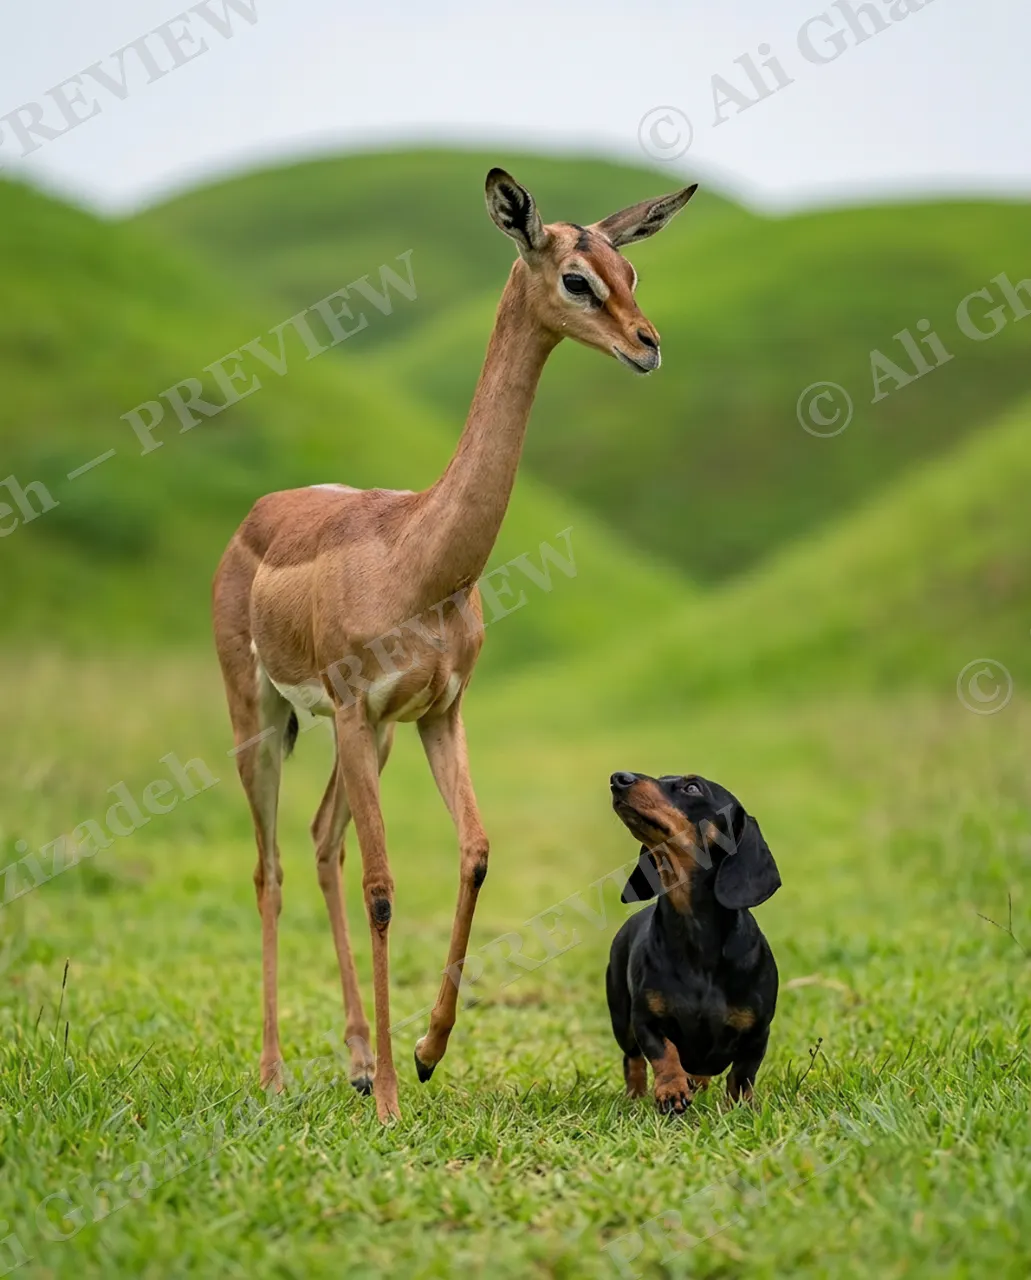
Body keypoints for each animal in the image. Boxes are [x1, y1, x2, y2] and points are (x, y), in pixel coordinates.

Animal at [212, 168, 697, 1121]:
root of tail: (257, 516)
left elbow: (473, 853)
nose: (648, 344)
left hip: (368, 740)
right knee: (272, 866)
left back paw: (357, 1061)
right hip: (264, 721)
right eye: (575, 277)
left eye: (630, 269)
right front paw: (397, 1099)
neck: (418, 555)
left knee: (320, 842)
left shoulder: (440, 713)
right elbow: (384, 888)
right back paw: (278, 1074)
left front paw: (426, 1054)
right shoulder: (357, 710)